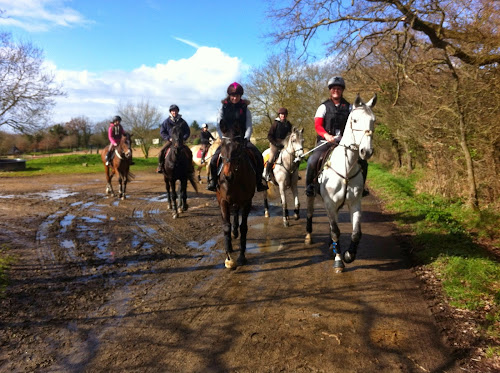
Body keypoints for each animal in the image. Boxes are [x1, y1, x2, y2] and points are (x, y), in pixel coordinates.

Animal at [215, 126, 256, 268]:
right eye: (222, 147)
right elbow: (226, 226)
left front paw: (242, 257)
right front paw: (229, 258)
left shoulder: (247, 202)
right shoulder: (223, 201)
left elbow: (243, 227)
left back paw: (235, 231)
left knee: (236, 213)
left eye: (238, 148)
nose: (228, 176)